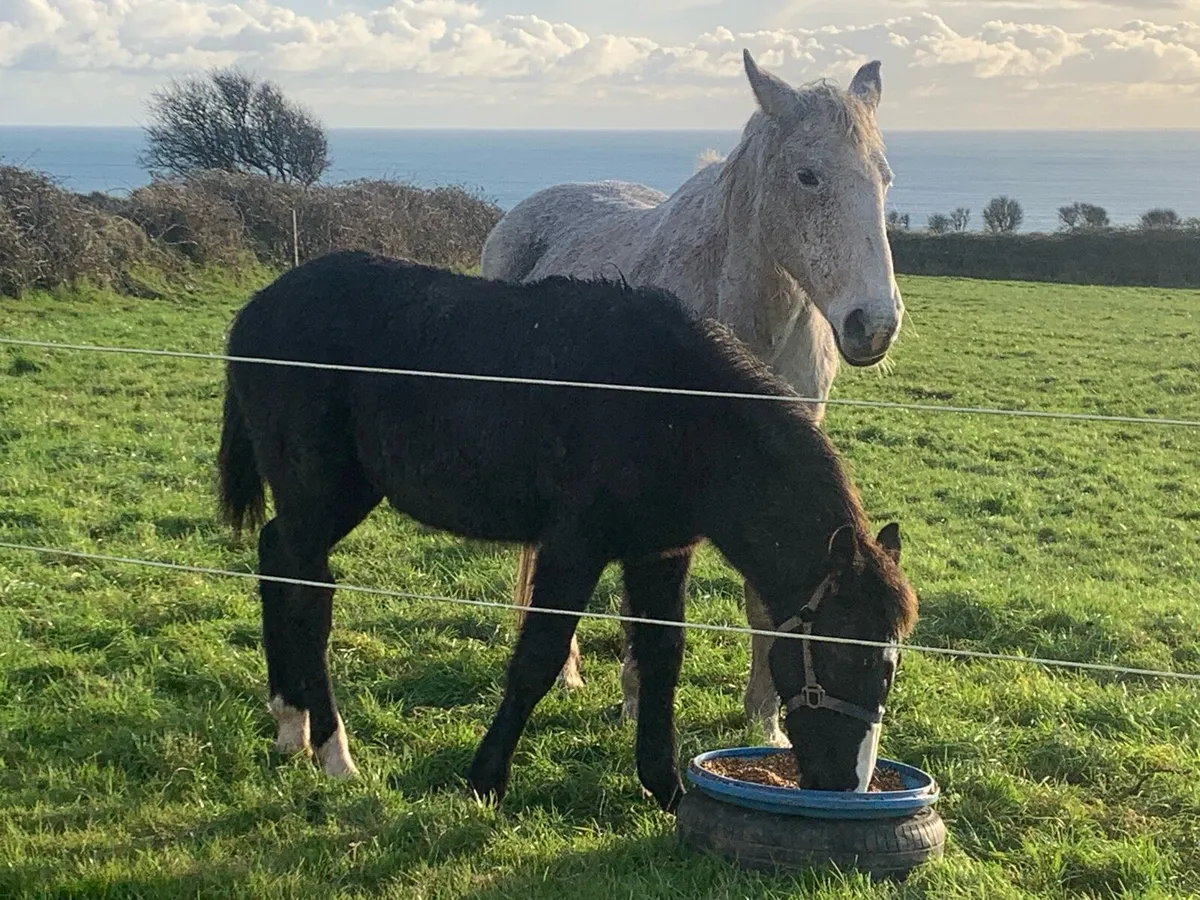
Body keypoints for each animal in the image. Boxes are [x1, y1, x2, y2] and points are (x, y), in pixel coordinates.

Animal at [217, 250, 918, 810]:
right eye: (850, 656)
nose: (845, 785)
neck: (678, 411)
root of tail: (255, 312)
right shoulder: (574, 547)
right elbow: (539, 655)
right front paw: (485, 780)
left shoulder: (659, 552)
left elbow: (662, 657)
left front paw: (666, 788)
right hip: (319, 495)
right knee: (309, 596)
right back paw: (333, 752)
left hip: (335, 500)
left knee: (276, 559)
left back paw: (289, 723)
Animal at [481, 49, 904, 745]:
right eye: (807, 176)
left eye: (885, 179)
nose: (874, 324)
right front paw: (633, 701)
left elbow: (765, 597)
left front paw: (766, 719)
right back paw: (567, 673)